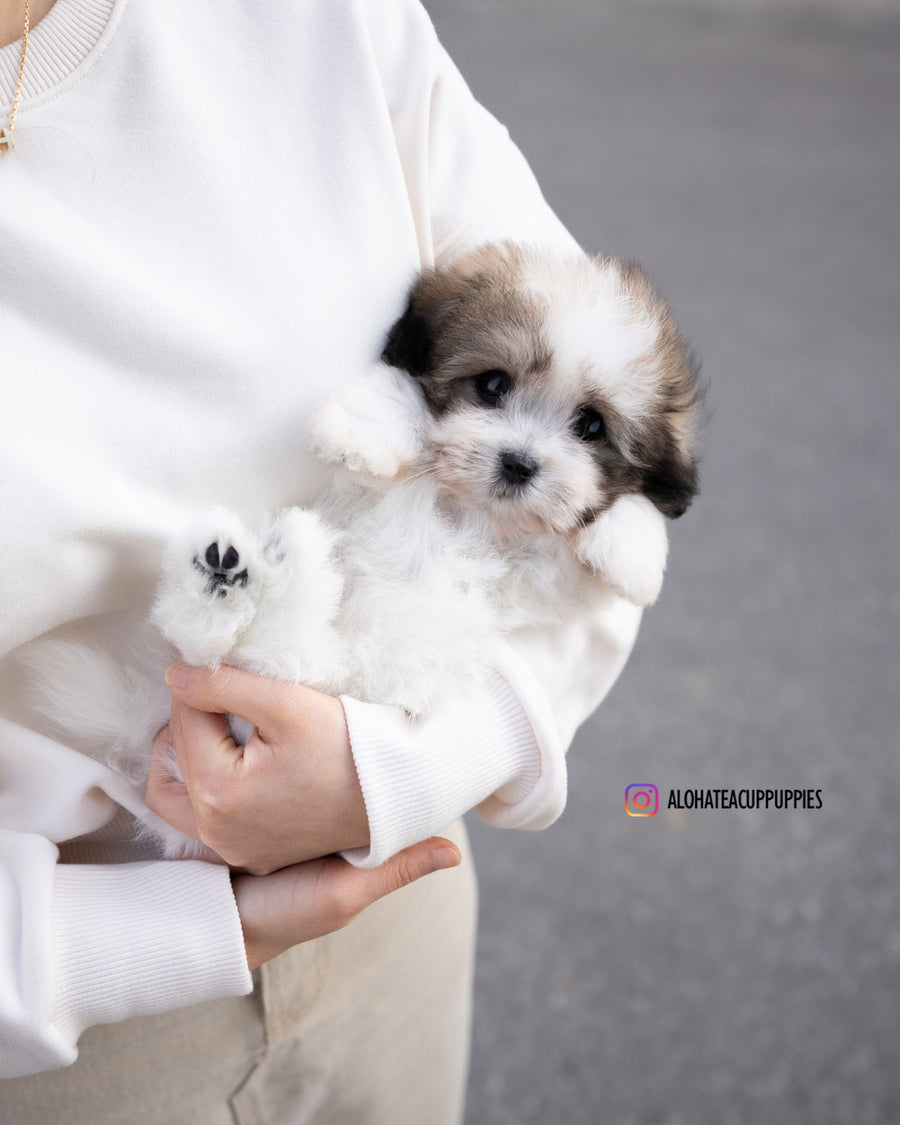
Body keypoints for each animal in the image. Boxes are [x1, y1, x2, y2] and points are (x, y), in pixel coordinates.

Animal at [22, 239, 702, 850]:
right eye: (491, 385)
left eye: (591, 425)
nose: (519, 463)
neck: (471, 511)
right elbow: (395, 405)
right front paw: (365, 427)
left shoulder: (547, 579)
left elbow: (615, 517)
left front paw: (632, 546)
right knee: (221, 648)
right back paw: (227, 575)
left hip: (318, 674)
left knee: (269, 650)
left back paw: (249, 571)